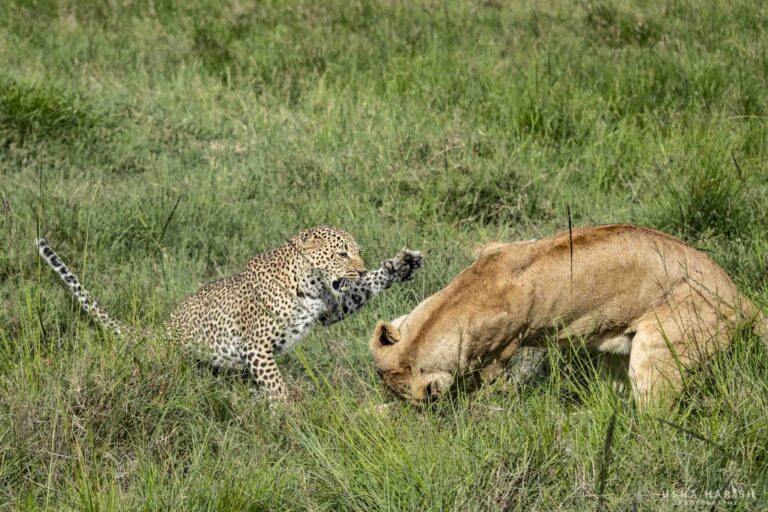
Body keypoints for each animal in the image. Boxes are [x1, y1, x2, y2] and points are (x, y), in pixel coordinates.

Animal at [37, 226, 422, 400]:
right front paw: (287, 414)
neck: (308, 281)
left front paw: (399, 266)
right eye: (342, 253)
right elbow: (277, 386)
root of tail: (164, 332)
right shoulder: (257, 347)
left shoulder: (329, 307)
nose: (360, 268)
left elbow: (360, 292)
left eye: (357, 253)